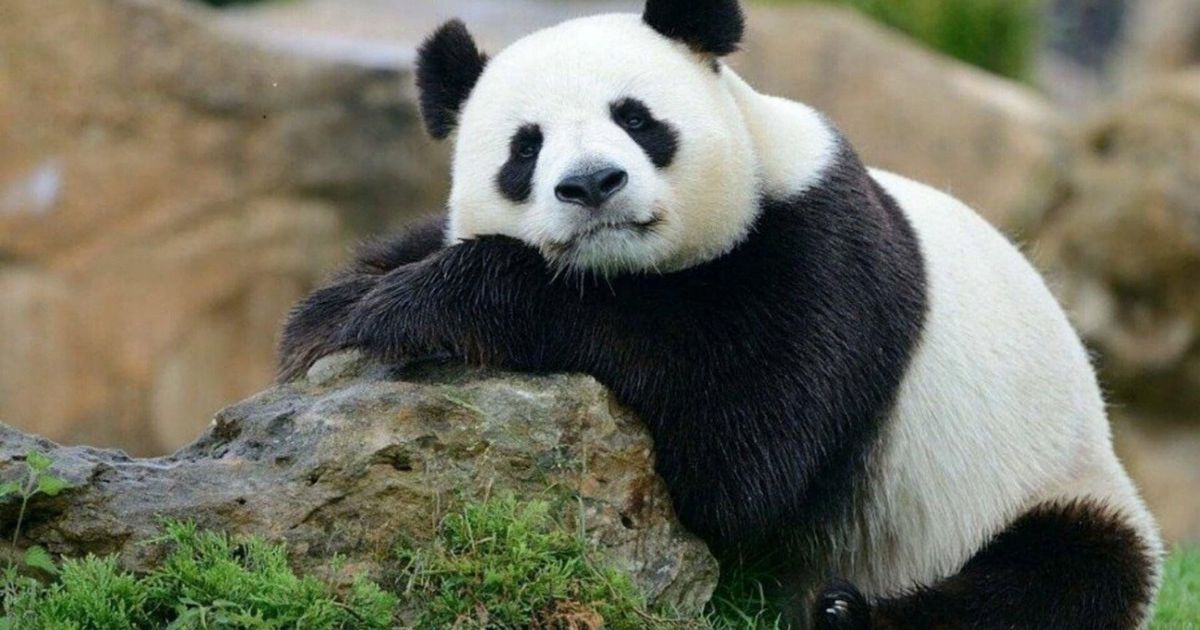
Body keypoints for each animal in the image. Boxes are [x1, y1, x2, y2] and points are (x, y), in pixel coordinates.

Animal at [277, 1, 1163, 627]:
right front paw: (331, 312)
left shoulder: (828, 258)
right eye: (525, 147)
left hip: (1037, 485)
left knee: (1063, 577)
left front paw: (418, 305)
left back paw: (849, 613)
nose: (592, 184)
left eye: (637, 118)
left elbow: (743, 452)